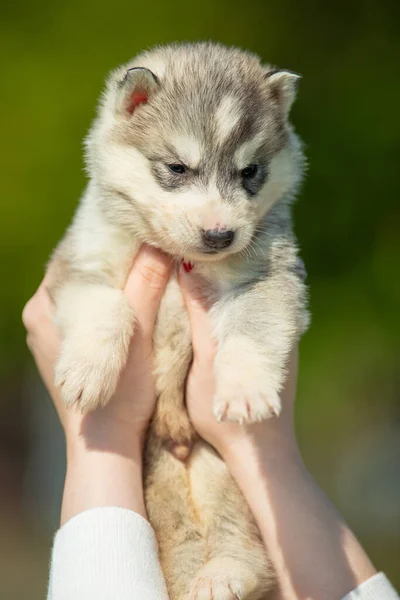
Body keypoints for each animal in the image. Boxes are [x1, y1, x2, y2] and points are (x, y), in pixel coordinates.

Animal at [47, 43, 310, 600]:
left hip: (224, 477)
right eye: (176, 167)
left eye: (250, 171)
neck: (172, 257)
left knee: (251, 553)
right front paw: (88, 371)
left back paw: (227, 573)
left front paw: (245, 387)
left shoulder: (272, 275)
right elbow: (107, 305)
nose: (220, 235)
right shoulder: (79, 262)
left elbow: (252, 326)